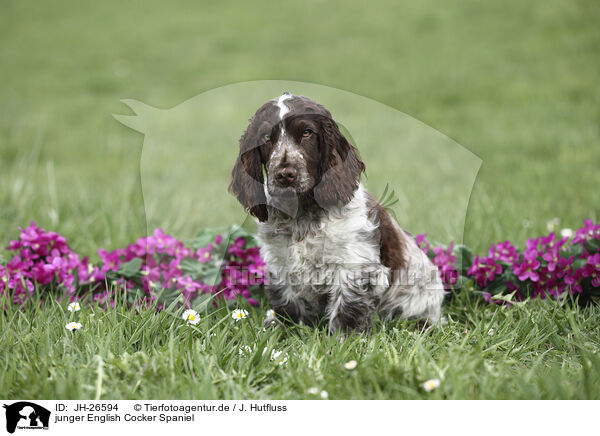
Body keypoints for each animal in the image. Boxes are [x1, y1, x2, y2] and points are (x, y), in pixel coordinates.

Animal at [230, 93, 446, 332]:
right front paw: (284, 331)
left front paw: (342, 339)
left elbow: (347, 308)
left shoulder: (354, 263)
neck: (303, 214)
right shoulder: (280, 261)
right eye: (266, 137)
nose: (285, 174)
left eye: (307, 133)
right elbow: (288, 305)